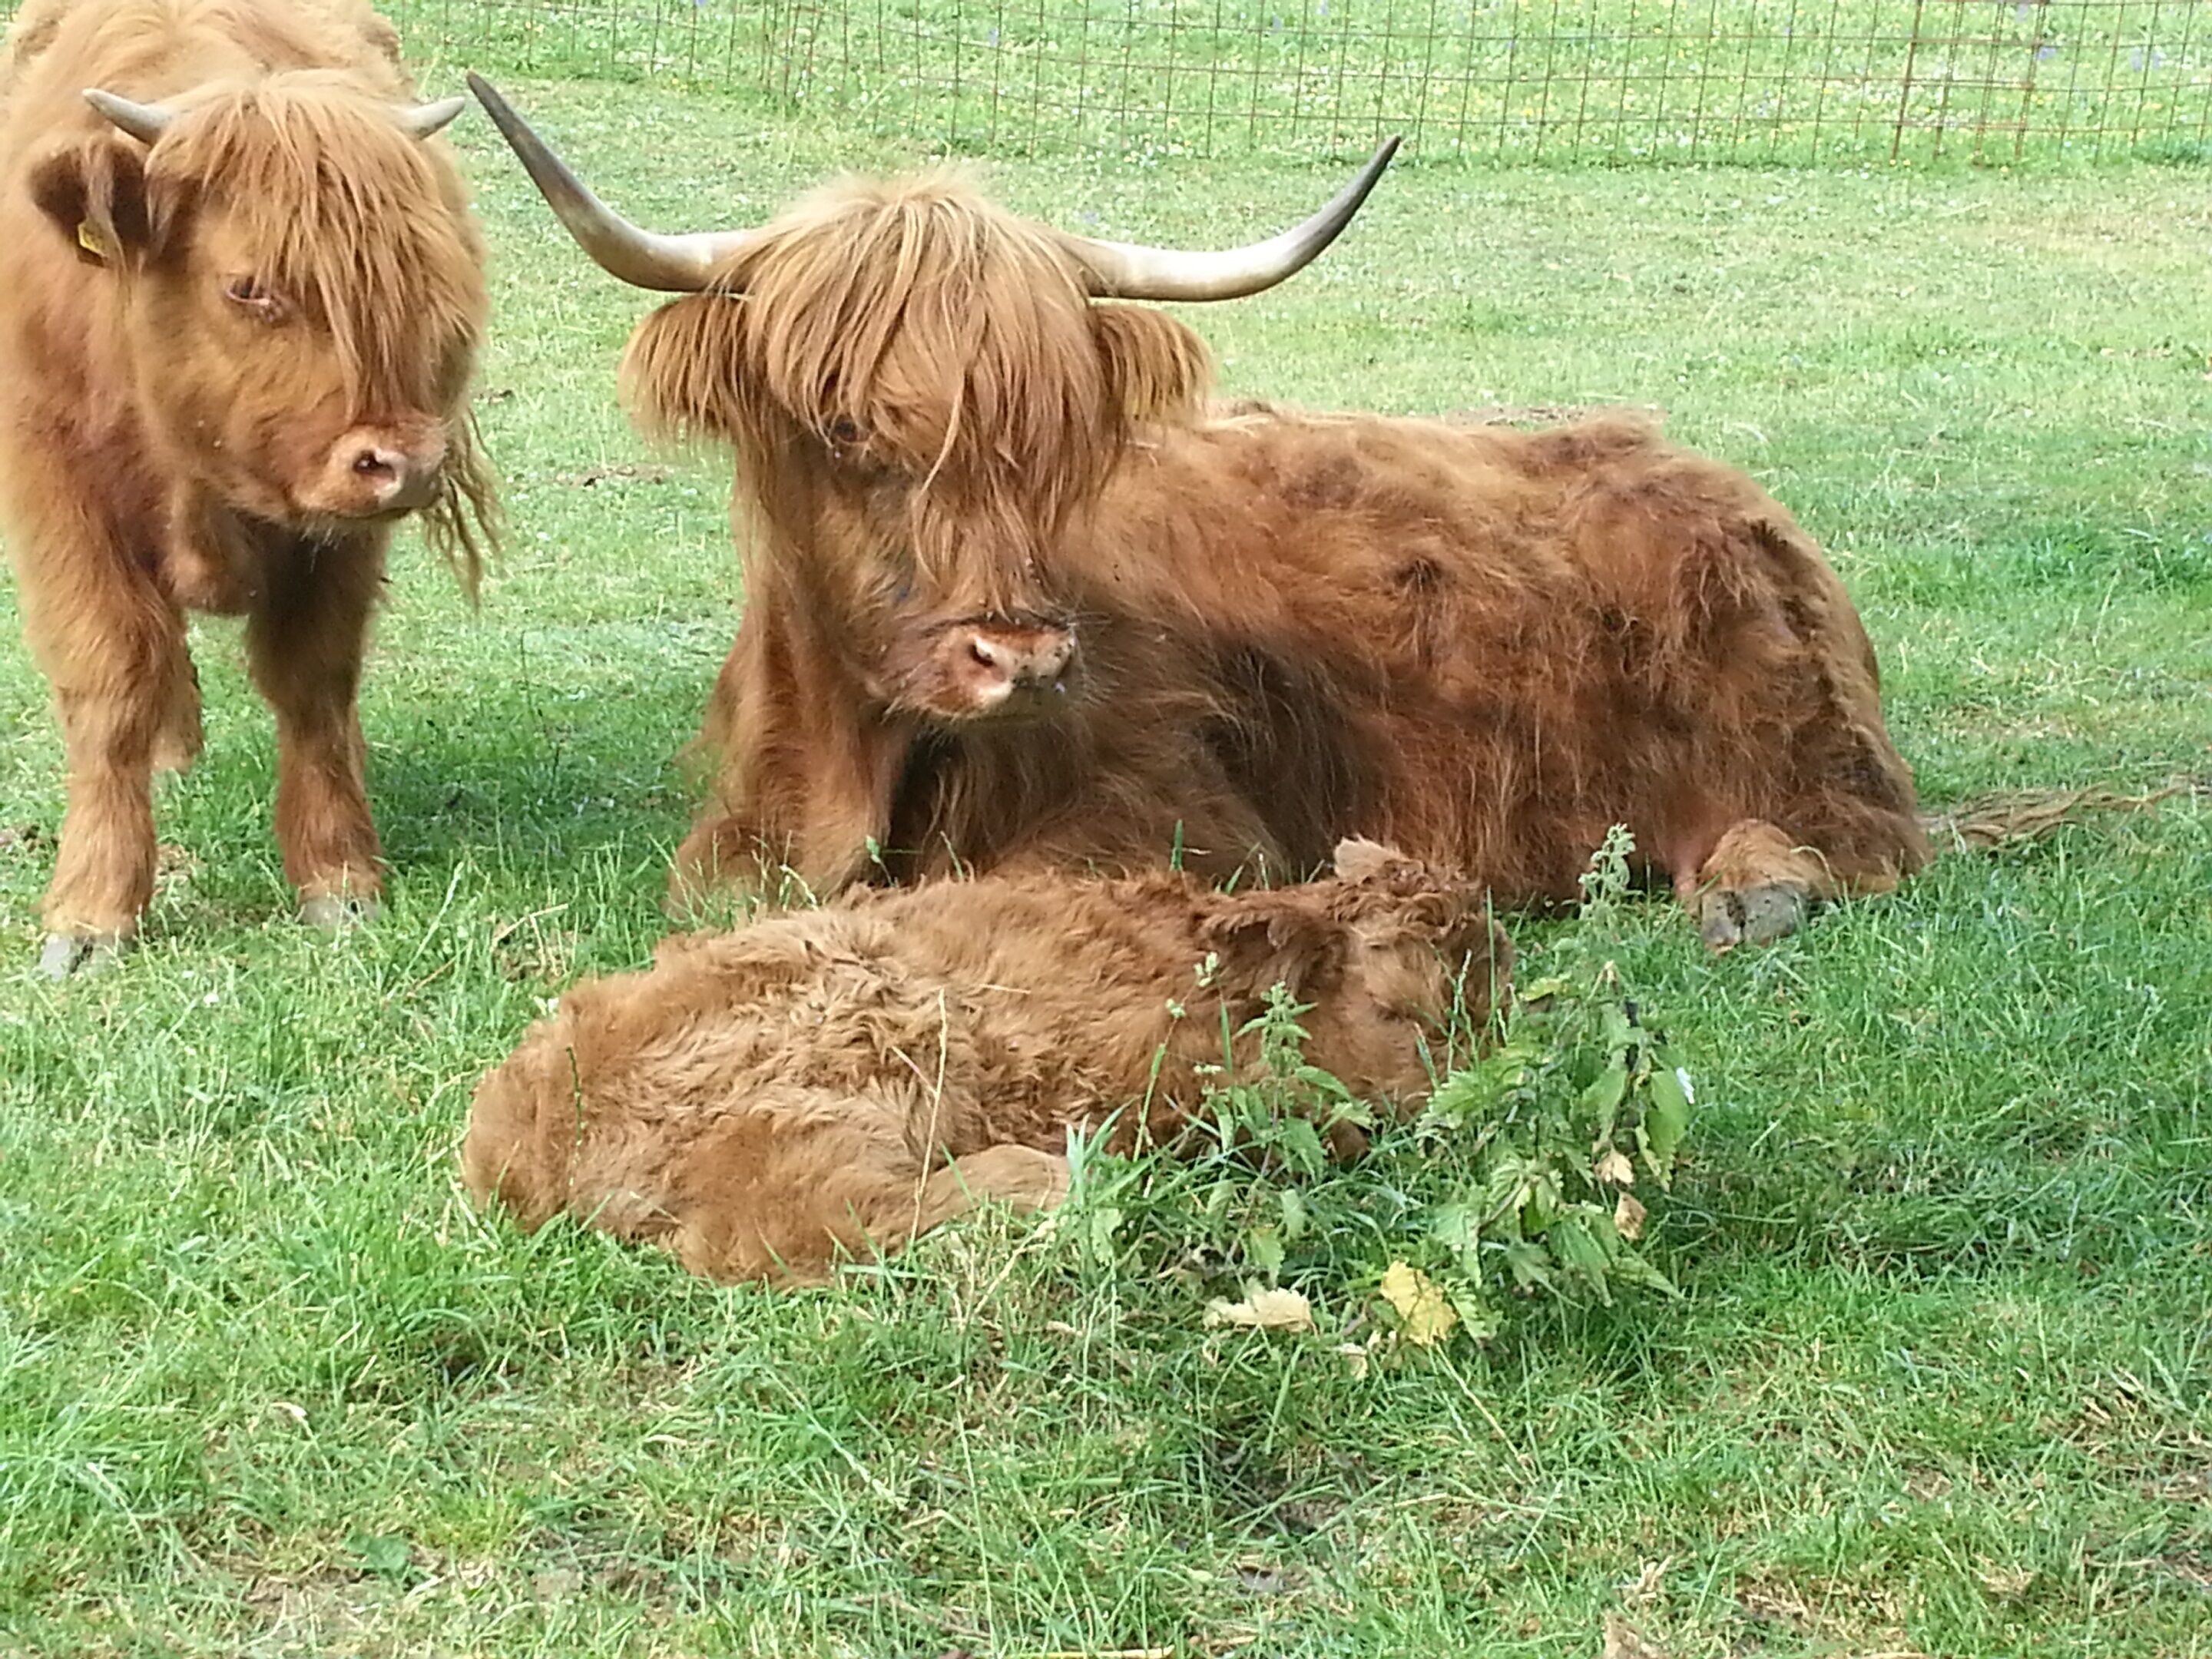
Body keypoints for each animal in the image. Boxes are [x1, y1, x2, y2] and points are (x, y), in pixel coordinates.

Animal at [0, 0, 493, 975]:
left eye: (419, 283)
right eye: (249, 287)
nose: (406, 464)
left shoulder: (342, 535)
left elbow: (314, 681)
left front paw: (339, 878)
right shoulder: (54, 495)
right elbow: (112, 679)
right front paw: (91, 911)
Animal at [462, 838, 1510, 1285]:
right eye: (1402, 1008)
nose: (1481, 1110)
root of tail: (519, 1147)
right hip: (864, 1037)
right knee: (791, 1227)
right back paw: (1068, 1182)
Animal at [470, 78, 1929, 951]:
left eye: (1061, 437)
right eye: (843, 429)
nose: (1021, 656)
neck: (858, 758)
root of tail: (1719, 483)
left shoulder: (1186, 825)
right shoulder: (733, 846)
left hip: (1787, 744)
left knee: (1848, 842)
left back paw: (1753, 890)